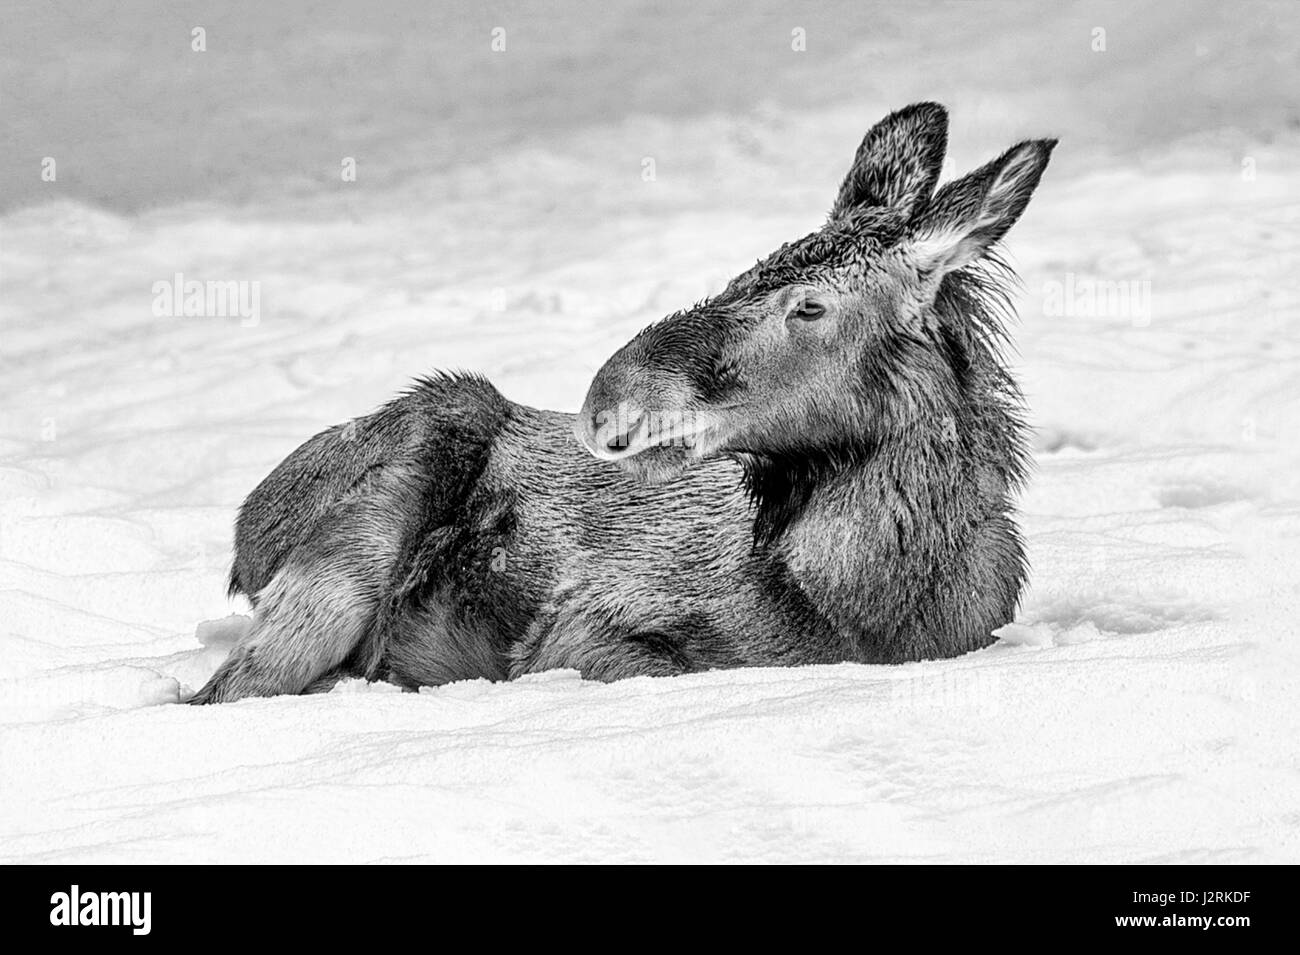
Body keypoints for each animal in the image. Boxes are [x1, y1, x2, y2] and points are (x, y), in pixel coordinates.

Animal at [189, 102, 1055, 701]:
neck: (871, 608)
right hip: (380, 505)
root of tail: (243, 541)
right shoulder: (586, 629)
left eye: (808, 306)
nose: (609, 396)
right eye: (748, 270)